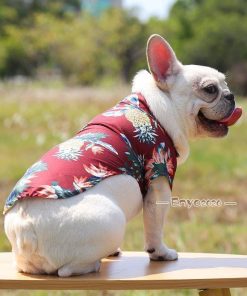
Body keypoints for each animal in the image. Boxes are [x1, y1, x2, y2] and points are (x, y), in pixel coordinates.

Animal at [2, 34, 241, 278]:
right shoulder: (159, 181)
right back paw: (93, 265)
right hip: (113, 220)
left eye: (225, 84)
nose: (231, 96)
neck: (157, 109)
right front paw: (161, 253)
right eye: (210, 89)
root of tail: (25, 230)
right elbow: (155, 228)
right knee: (67, 270)